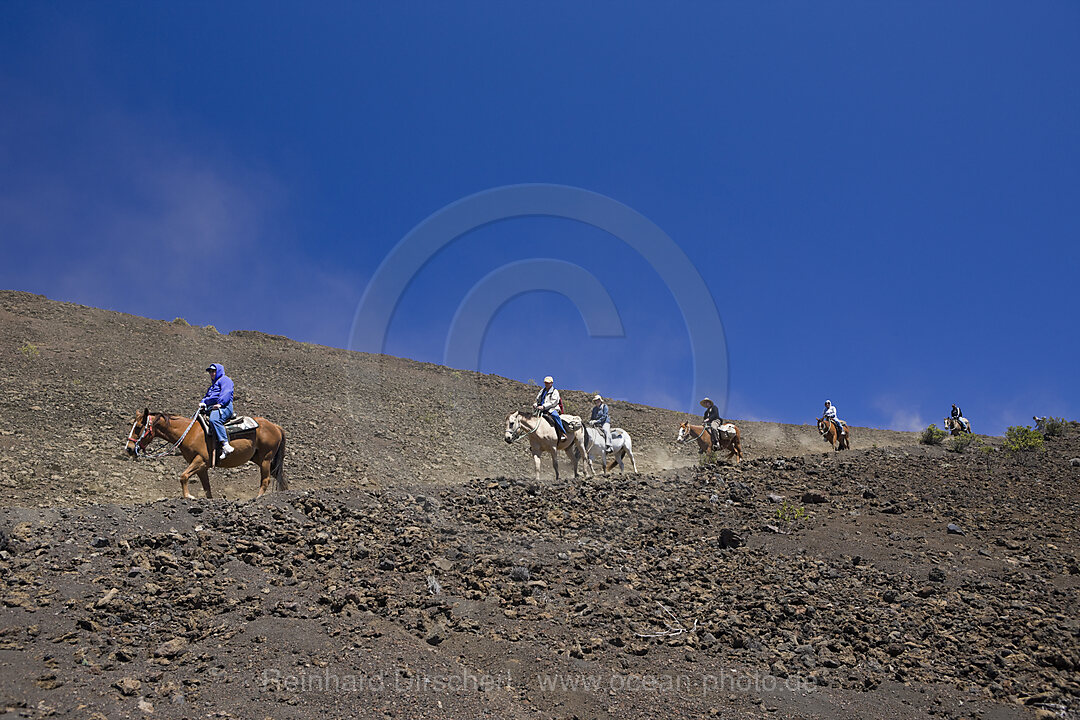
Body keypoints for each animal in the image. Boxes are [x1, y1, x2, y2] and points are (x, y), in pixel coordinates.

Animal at [125, 408, 287, 498]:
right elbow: (207, 488)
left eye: (138, 427)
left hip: (266, 459)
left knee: (265, 480)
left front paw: (189, 496)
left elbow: (183, 477)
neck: (189, 433)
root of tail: (276, 427)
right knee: (277, 476)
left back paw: (257, 498)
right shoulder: (201, 467)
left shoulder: (200, 460)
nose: (129, 448)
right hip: (260, 459)